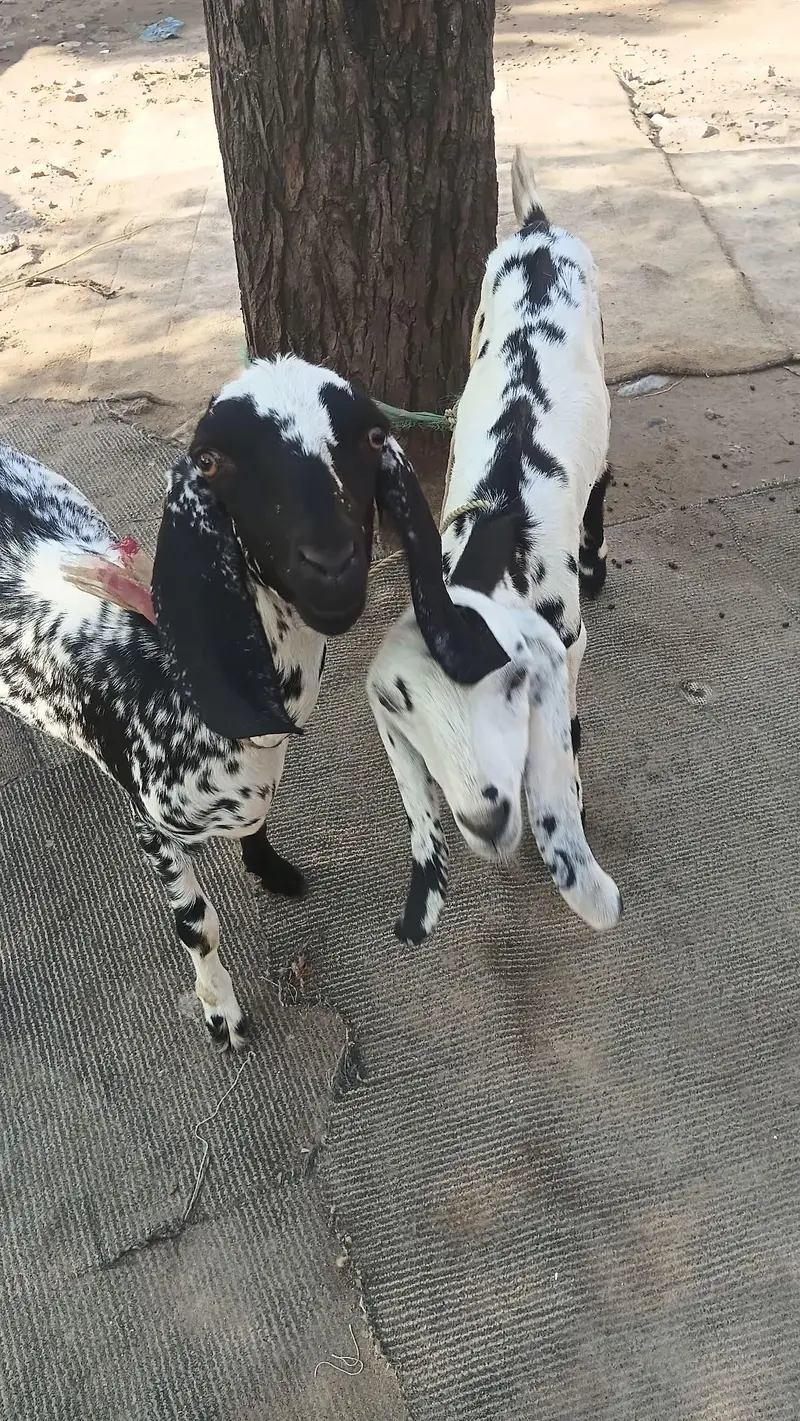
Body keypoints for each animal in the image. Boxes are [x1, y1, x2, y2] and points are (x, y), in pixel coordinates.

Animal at [0, 356, 498, 1049]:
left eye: (374, 436)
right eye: (211, 460)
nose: (332, 564)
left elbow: (259, 825)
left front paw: (273, 871)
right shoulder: (154, 828)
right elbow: (196, 924)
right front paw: (222, 1014)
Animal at [367, 149, 622, 945]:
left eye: (514, 683)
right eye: (401, 708)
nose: (485, 818)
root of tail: (536, 231)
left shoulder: (567, 641)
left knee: (604, 479)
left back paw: (597, 561)